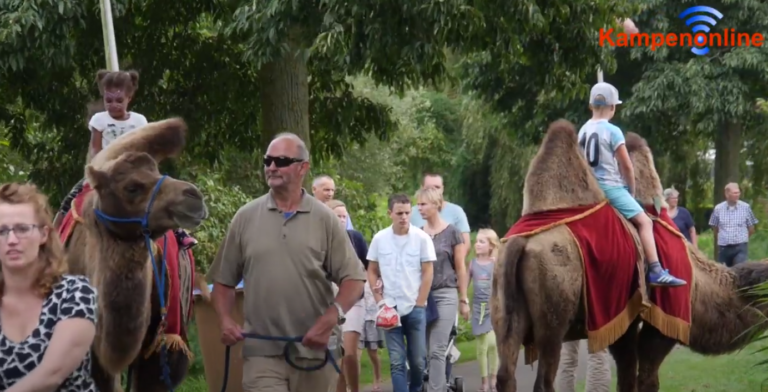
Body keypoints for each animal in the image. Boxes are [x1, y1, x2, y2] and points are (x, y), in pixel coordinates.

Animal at [488, 120, 768, 392]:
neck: (700, 284)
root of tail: (520, 243)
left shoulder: (623, 318)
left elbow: (626, 375)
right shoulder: (666, 316)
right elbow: (647, 376)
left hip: (502, 301)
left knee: (505, 372)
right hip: (554, 305)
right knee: (545, 376)